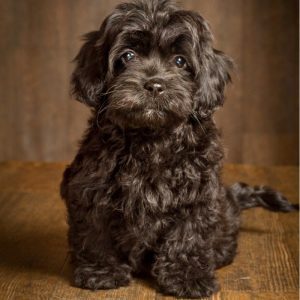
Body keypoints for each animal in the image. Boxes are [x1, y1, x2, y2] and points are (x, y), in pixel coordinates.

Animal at [60, 0, 298, 298]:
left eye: (180, 61)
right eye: (128, 56)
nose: (154, 85)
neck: (150, 137)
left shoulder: (198, 195)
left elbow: (188, 235)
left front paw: (187, 277)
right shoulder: (90, 188)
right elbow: (94, 231)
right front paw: (101, 271)